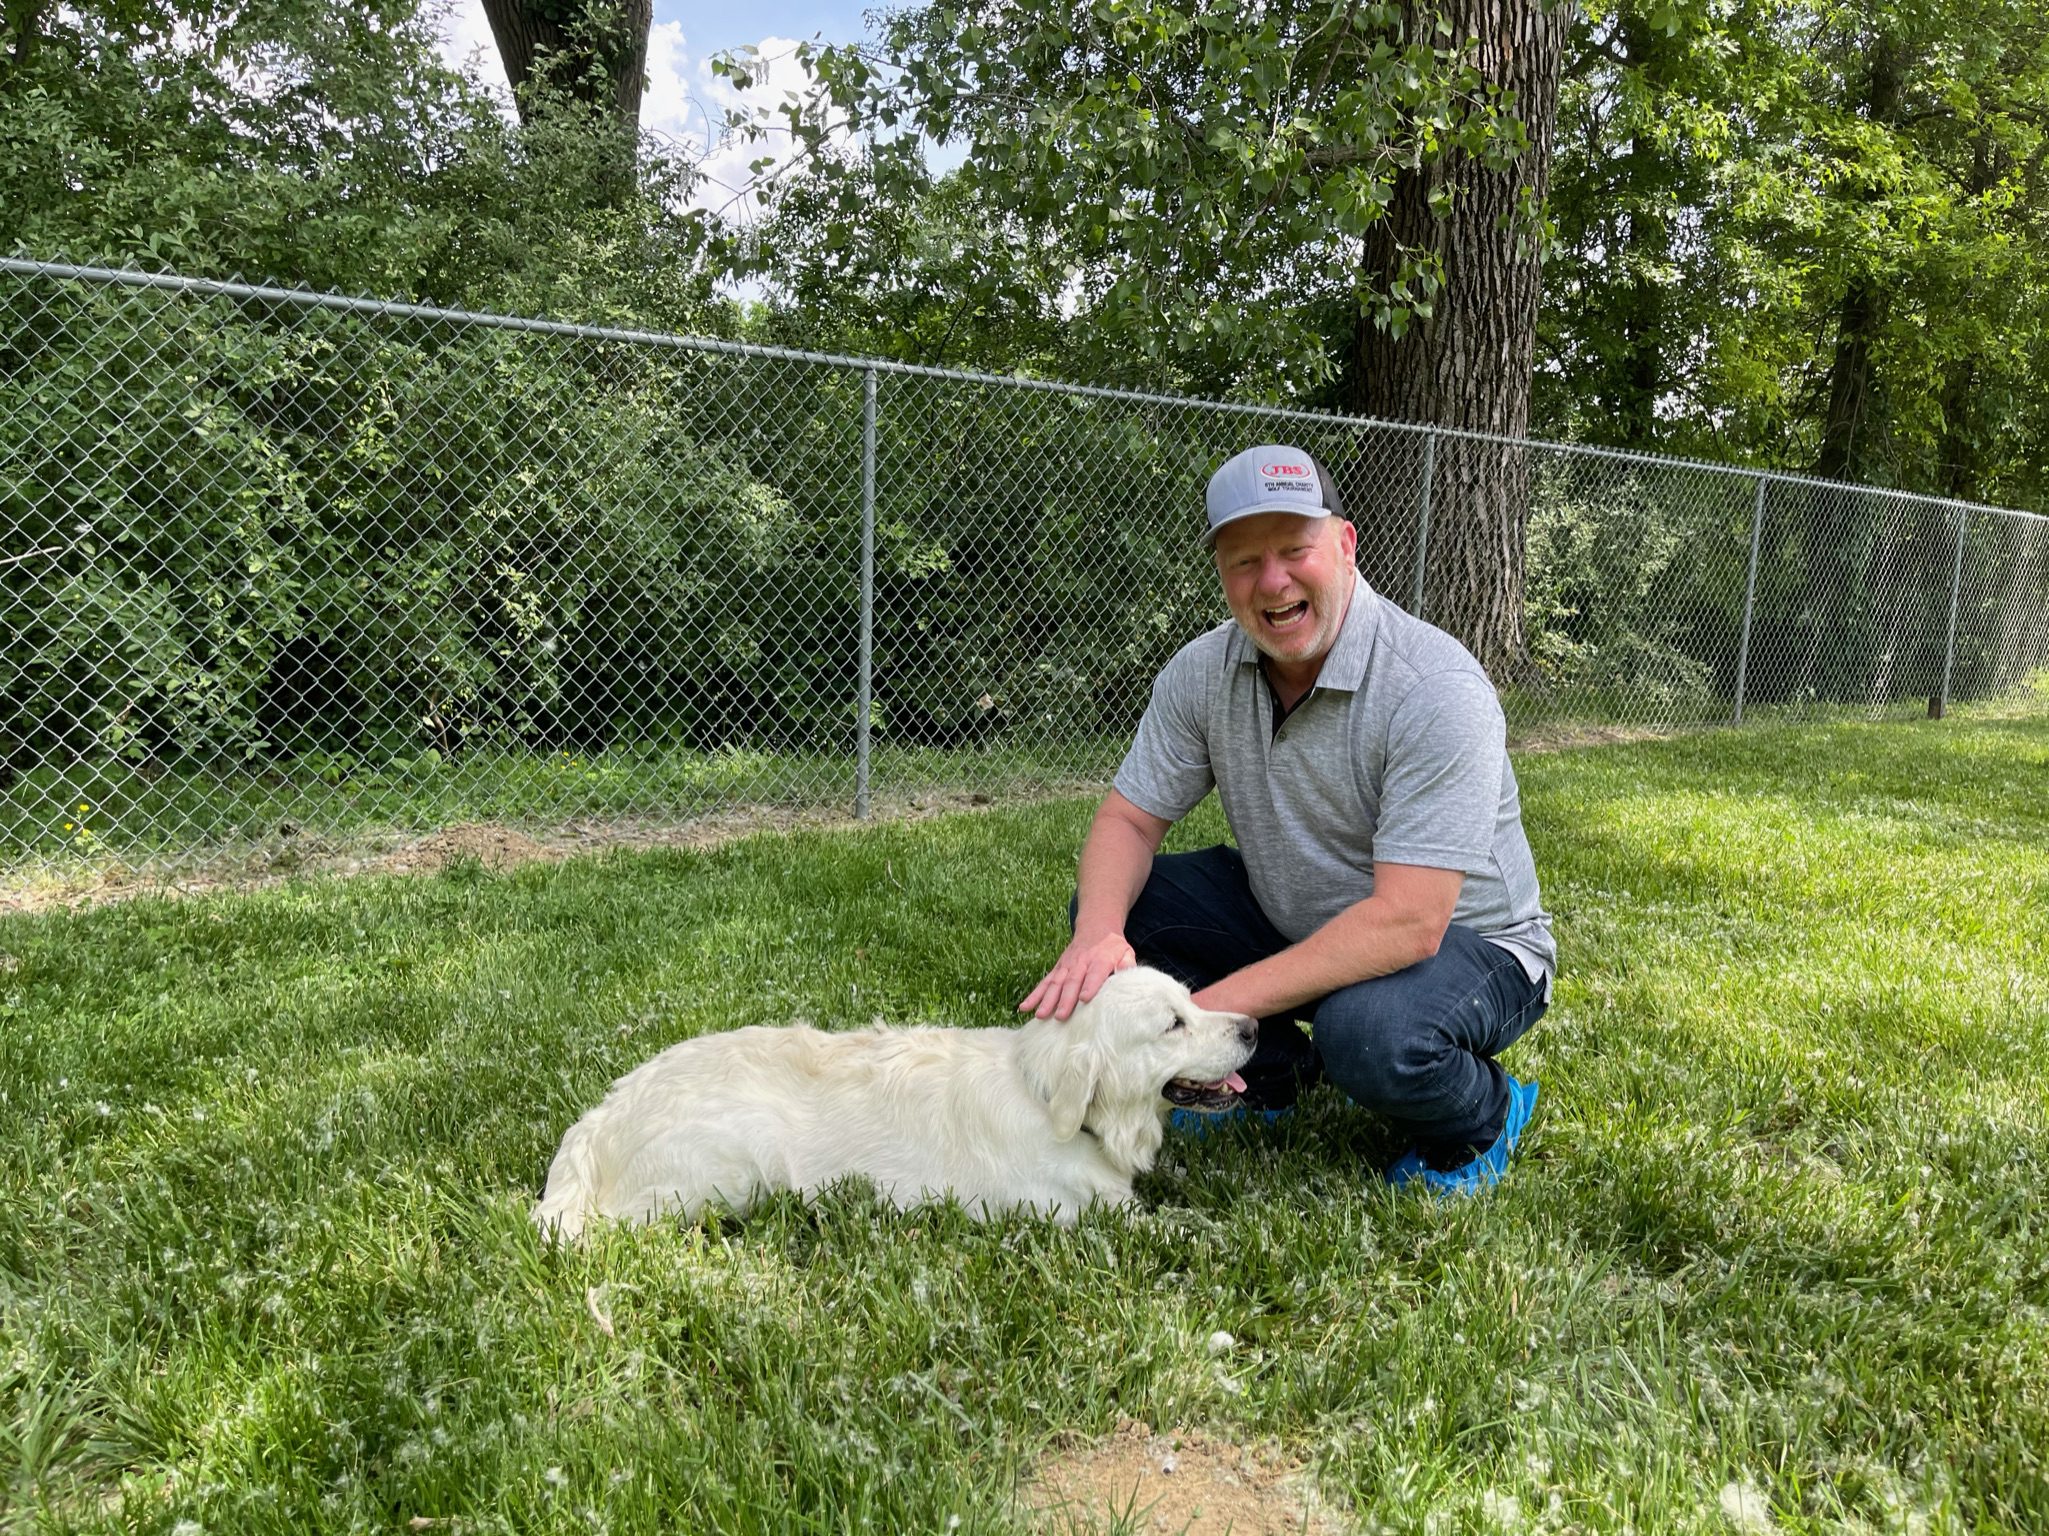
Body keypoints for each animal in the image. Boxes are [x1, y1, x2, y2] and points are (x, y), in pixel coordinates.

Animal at [528, 966, 1253, 1245]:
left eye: (1191, 1000)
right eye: (1172, 1025)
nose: (1251, 1028)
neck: (1050, 1097)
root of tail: (601, 1114)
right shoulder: (1077, 1212)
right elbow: (1181, 1225)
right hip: (735, 1167)